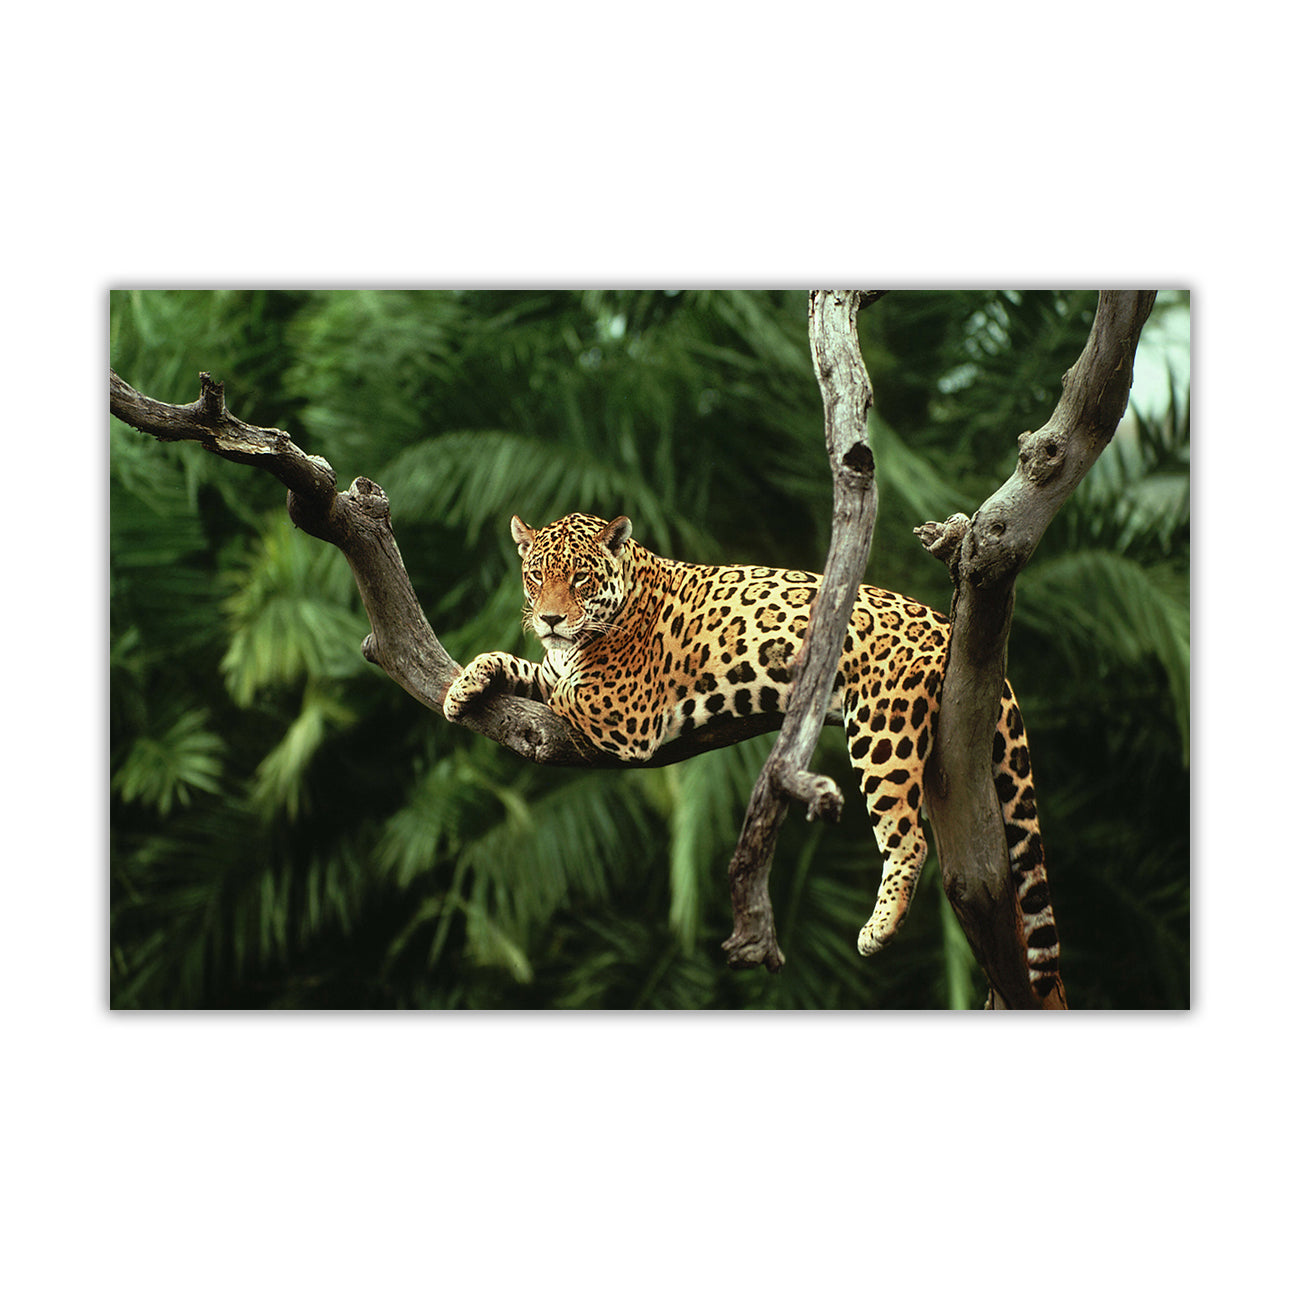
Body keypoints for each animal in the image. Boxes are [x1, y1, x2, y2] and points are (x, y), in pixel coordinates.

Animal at [443, 511, 1062, 1001]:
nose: (550, 618)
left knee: (907, 837)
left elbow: (563, 690)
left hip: (882, 728)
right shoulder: (560, 668)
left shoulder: (625, 710)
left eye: (580, 578)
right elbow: (525, 667)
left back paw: (879, 928)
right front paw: (463, 686)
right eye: (535, 576)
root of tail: (947, 624)